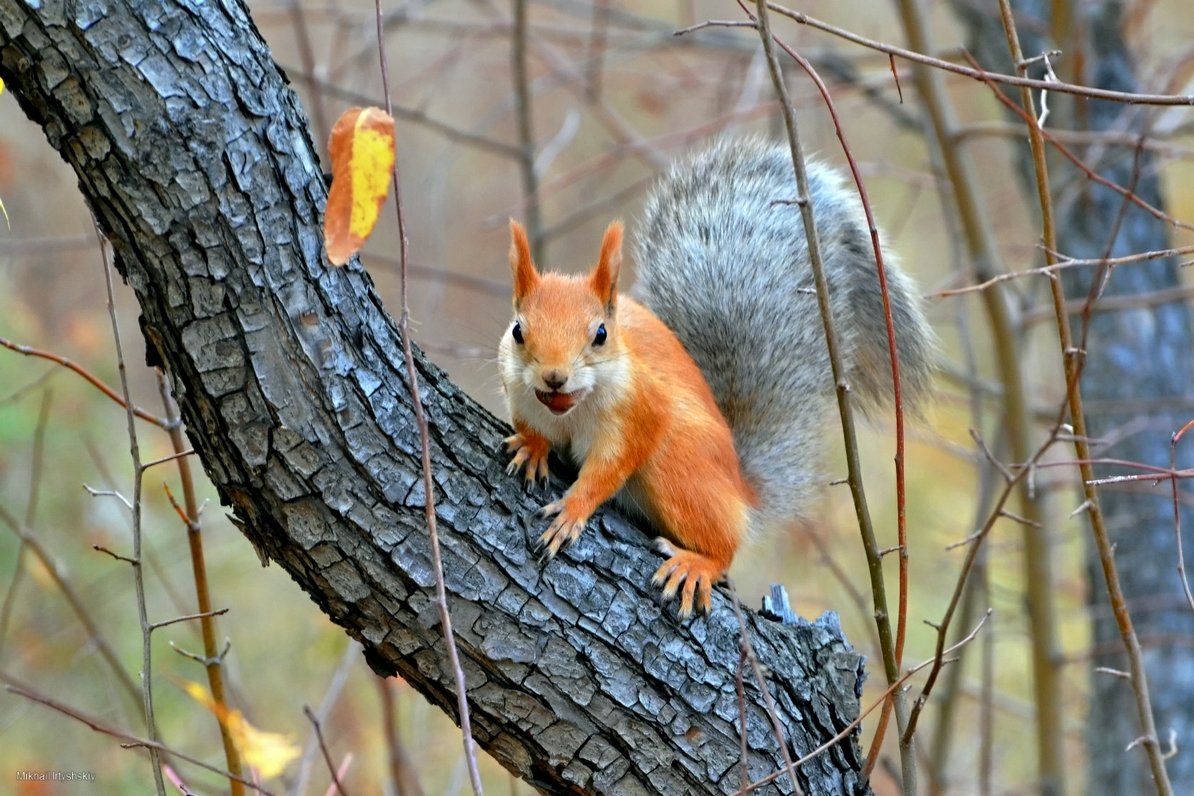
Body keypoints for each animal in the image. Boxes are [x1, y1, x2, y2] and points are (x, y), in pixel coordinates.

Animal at [494, 140, 931, 620]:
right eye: (517, 330)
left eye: (601, 335)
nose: (554, 377)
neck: (572, 408)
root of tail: (739, 492)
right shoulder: (516, 389)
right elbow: (530, 425)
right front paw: (532, 447)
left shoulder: (640, 410)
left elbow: (610, 467)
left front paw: (573, 509)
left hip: (679, 468)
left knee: (724, 545)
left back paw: (699, 563)